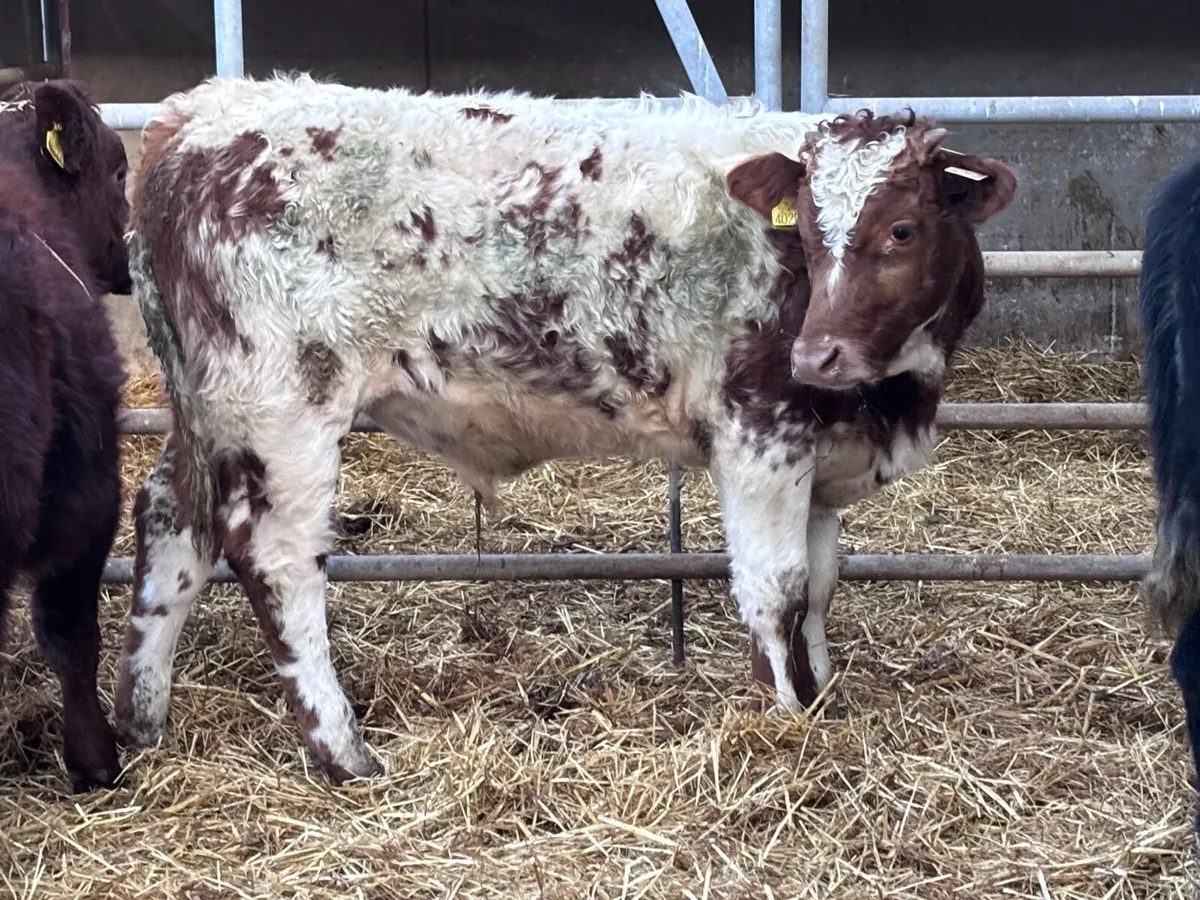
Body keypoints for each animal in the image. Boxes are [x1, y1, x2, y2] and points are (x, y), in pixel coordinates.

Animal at [113, 74, 1017, 783]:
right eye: (812, 231)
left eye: (901, 230)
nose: (817, 354)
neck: (892, 395)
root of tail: (200, 109)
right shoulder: (759, 436)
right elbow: (778, 590)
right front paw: (785, 719)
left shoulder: (826, 457)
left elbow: (823, 588)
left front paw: (821, 697)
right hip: (283, 408)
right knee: (277, 561)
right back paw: (342, 752)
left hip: (210, 409)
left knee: (170, 522)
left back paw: (141, 719)